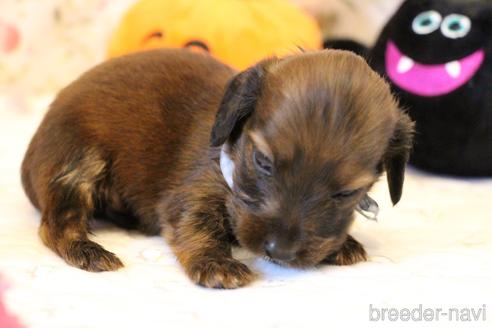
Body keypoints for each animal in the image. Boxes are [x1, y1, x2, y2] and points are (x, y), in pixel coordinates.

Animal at [21, 48, 414, 288]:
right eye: (263, 162)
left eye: (348, 192)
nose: (280, 253)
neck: (233, 154)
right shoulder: (191, 194)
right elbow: (199, 226)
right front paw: (217, 265)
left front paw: (343, 242)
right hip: (78, 161)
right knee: (56, 225)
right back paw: (89, 251)